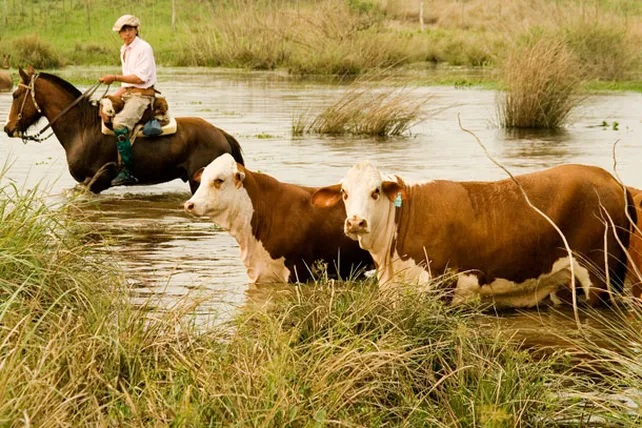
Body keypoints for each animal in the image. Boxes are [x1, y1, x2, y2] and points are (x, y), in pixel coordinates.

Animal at [312, 161, 636, 308]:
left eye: (376, 191)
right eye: (344, 193)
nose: (356, 222)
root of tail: (611, 180)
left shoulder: (440, 283)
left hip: (600, 276)